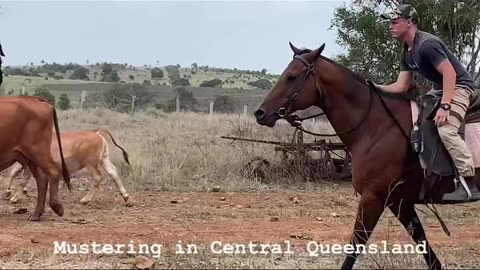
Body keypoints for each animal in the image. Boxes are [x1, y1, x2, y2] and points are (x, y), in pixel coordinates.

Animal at [253, 41, 480, 268]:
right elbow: (424, 245)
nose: (260, 113)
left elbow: (355, 247)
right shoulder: (398, 202)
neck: (375, 125)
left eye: (291, 77)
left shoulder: (373, 199)